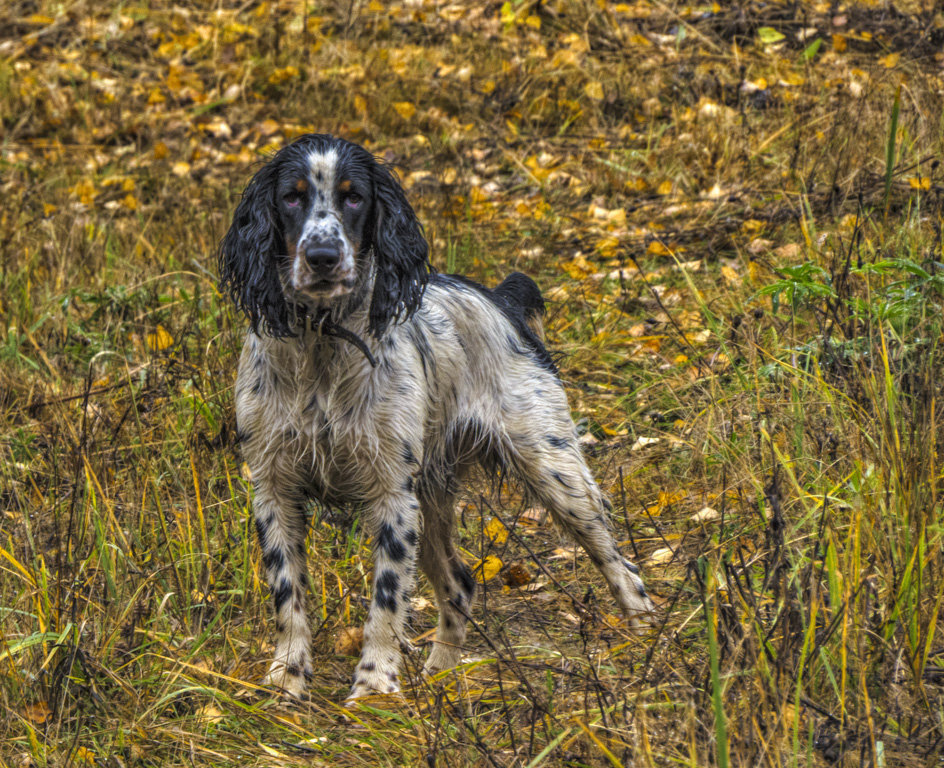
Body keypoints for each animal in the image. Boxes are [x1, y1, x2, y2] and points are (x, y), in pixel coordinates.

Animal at [218, 134, 652, 704]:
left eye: (354, 198)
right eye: (291, 197)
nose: (322, 257)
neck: (323, 344)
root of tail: (502, 302)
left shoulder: (391, 496)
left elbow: (385, 602)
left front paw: (374, 689)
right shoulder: (274, 488)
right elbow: (288, 598)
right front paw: (286, 682)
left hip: (554, 471)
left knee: (619, 563)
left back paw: (647, 643)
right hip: (433, 497)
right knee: (460, 583)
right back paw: (440, 674)